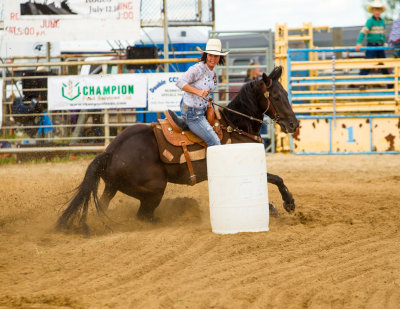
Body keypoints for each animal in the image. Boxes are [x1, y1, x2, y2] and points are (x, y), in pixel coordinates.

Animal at [57, 65, 298, 233]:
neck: (235, 125)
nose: (294, 124)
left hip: (112, 187)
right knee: (143, 216)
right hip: (154, 190)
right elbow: (275, 178)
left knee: (104, 207)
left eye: (287, 94)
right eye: (276, 96)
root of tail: (110, 152)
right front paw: (286, 204)